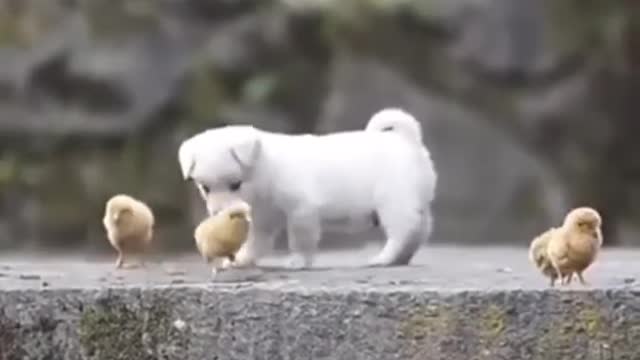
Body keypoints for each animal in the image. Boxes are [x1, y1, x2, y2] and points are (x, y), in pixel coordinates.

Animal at [180, 107, 440, 268]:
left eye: (235, 184)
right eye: (205, 188)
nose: (217, 215)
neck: (265, 168)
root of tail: (407, 140)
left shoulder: (301, 211)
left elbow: (300, 239)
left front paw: (298, 261)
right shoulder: (263, 217)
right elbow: (256, 242)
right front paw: (242, 260)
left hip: (393, 202)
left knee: (402, 231)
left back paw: (384, 258)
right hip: (417, 202)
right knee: (419, 232)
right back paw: (400, 259)